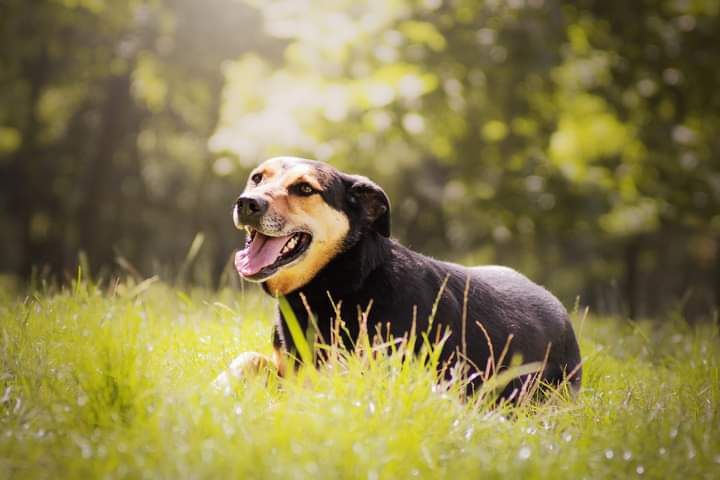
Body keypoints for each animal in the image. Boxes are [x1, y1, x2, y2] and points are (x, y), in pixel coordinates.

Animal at [212, 156, 580, 400]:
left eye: (304, 188)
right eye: (257, 178)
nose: (247, 203)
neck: (342, 279)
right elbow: (249, 358)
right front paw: (219, 386)